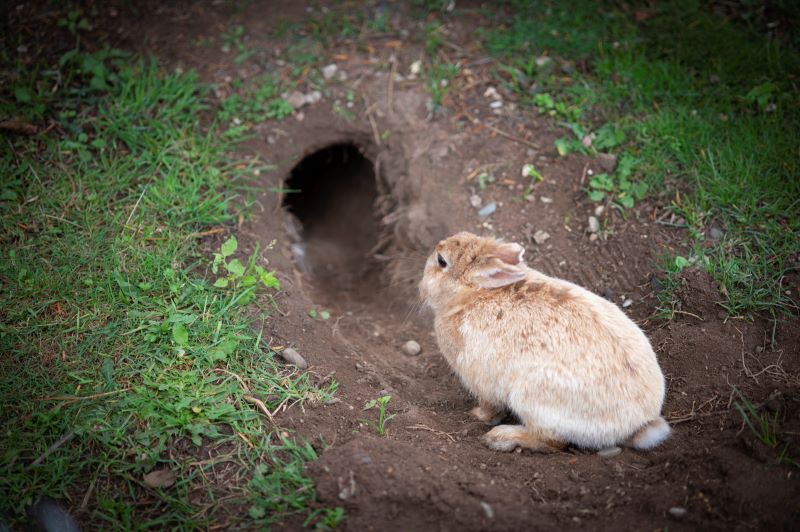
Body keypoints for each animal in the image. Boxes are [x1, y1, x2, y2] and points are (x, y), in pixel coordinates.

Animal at [418, 231, 668, 450]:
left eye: (442, 261)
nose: (436, 248)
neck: (469, 296)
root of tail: (639, 423)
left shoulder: (480, 379)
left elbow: (491, 407)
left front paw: (478, 416)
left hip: (532, 400)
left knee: (551, 441)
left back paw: (500, 438)